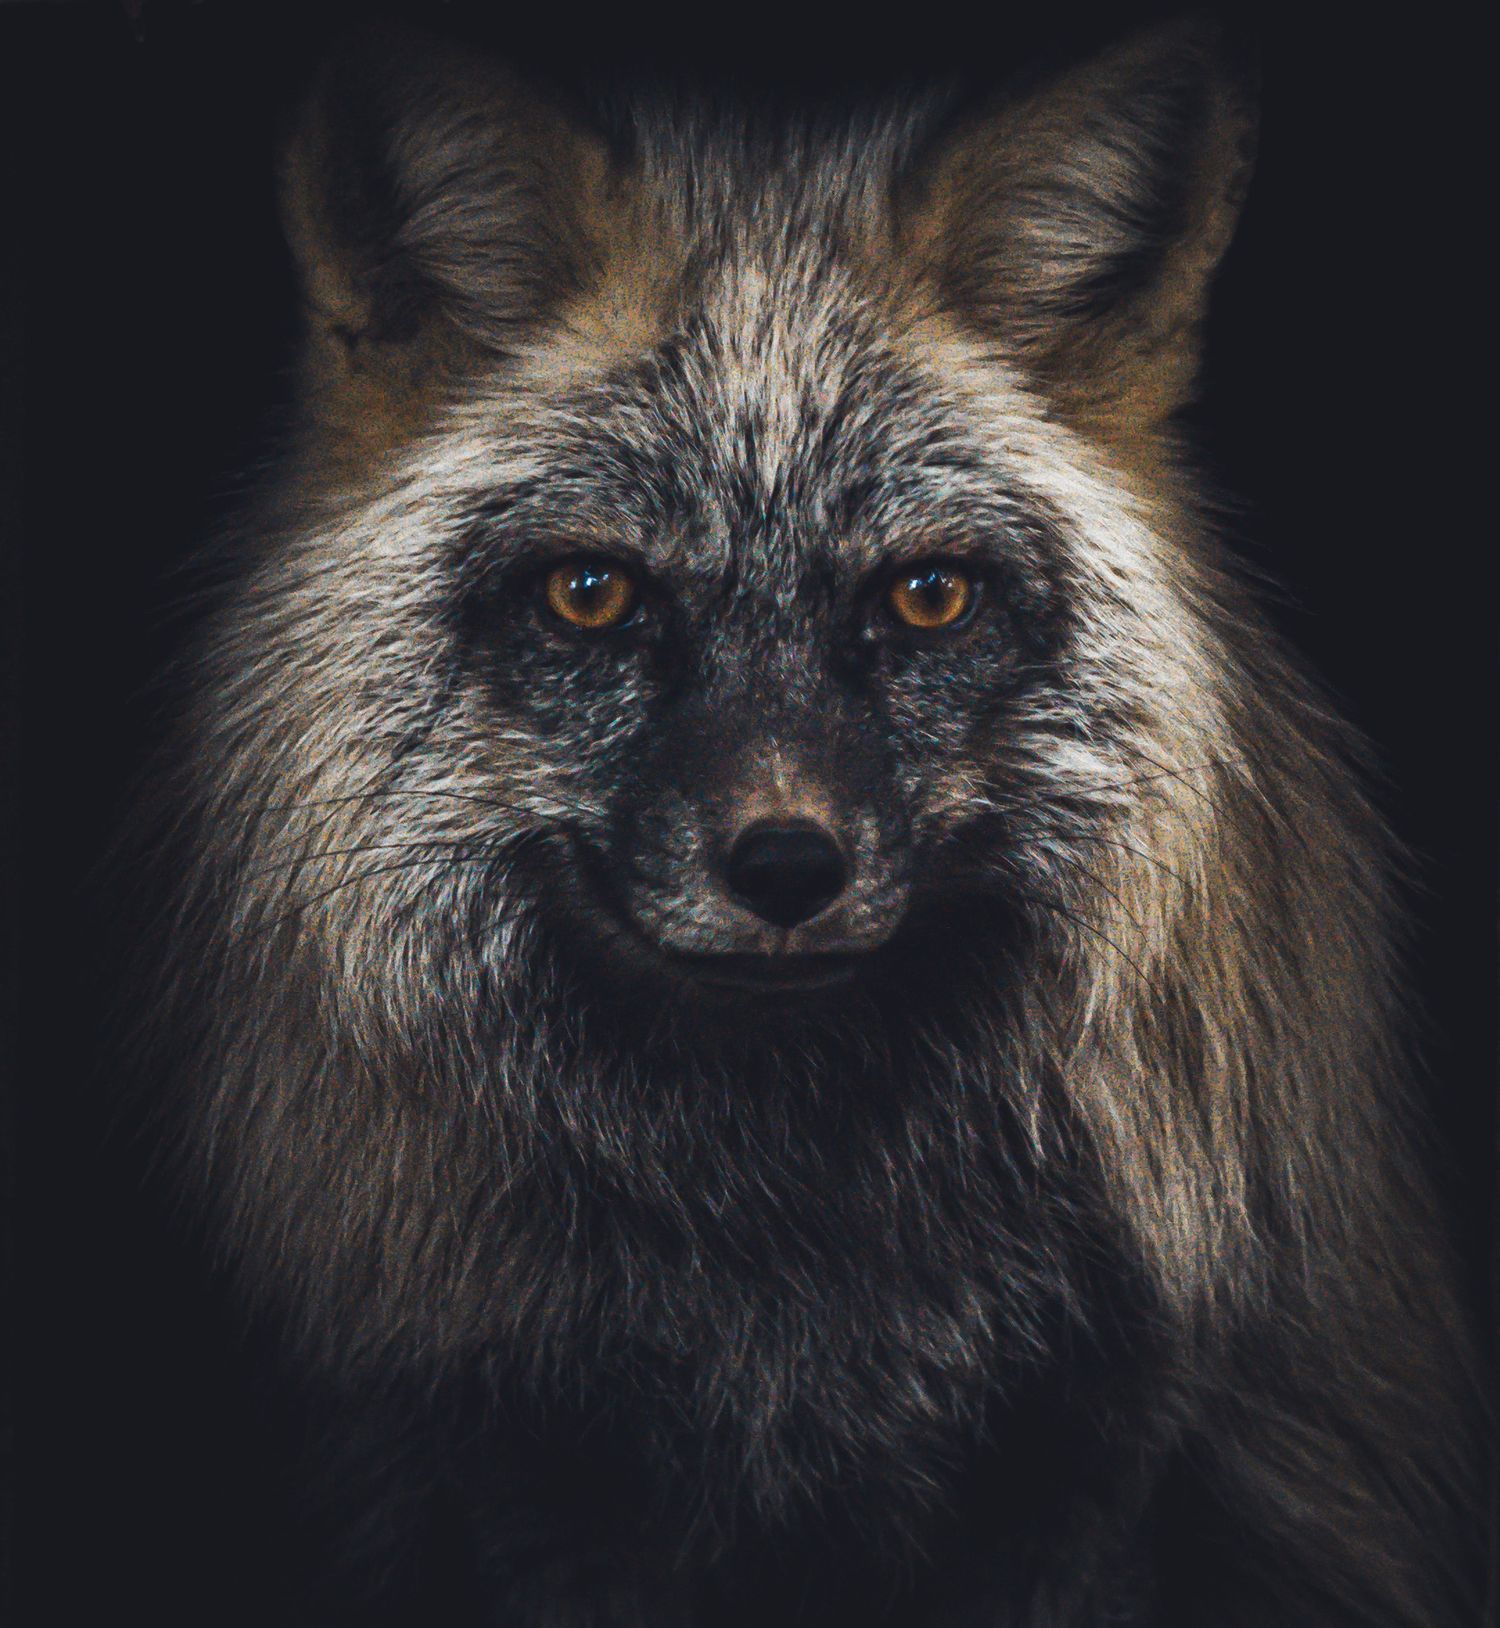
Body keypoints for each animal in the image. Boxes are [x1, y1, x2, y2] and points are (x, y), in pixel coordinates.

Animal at [128, 19, 1483, 1626]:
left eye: (927, 595)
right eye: (593, 593)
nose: (786, 868)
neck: (786, 1302)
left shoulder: (1100, 1450)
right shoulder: (498, 1455)